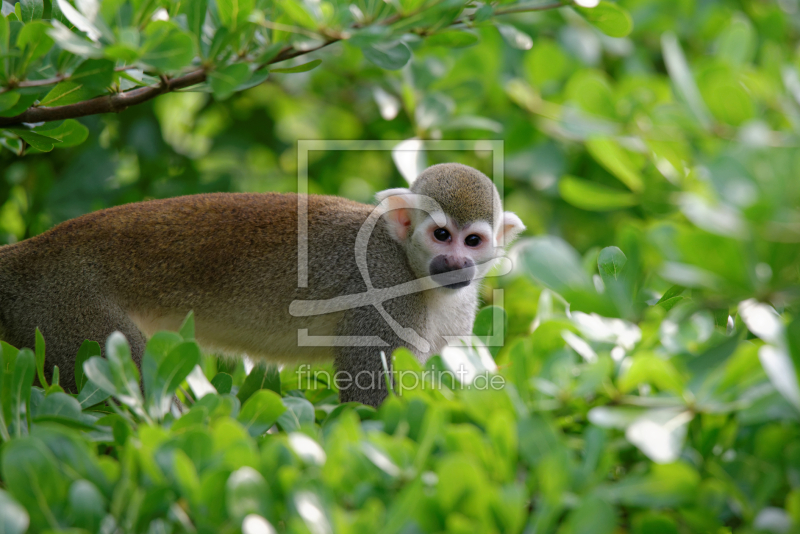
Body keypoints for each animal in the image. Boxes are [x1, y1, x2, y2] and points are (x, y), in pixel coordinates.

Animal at [0, 163, 524, 406]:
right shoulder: (383, 287)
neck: (415, 272)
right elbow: (371, 395)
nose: (455, 263)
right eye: (441, 235)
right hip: (63, 310)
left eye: (473, 241)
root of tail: (28, 254)